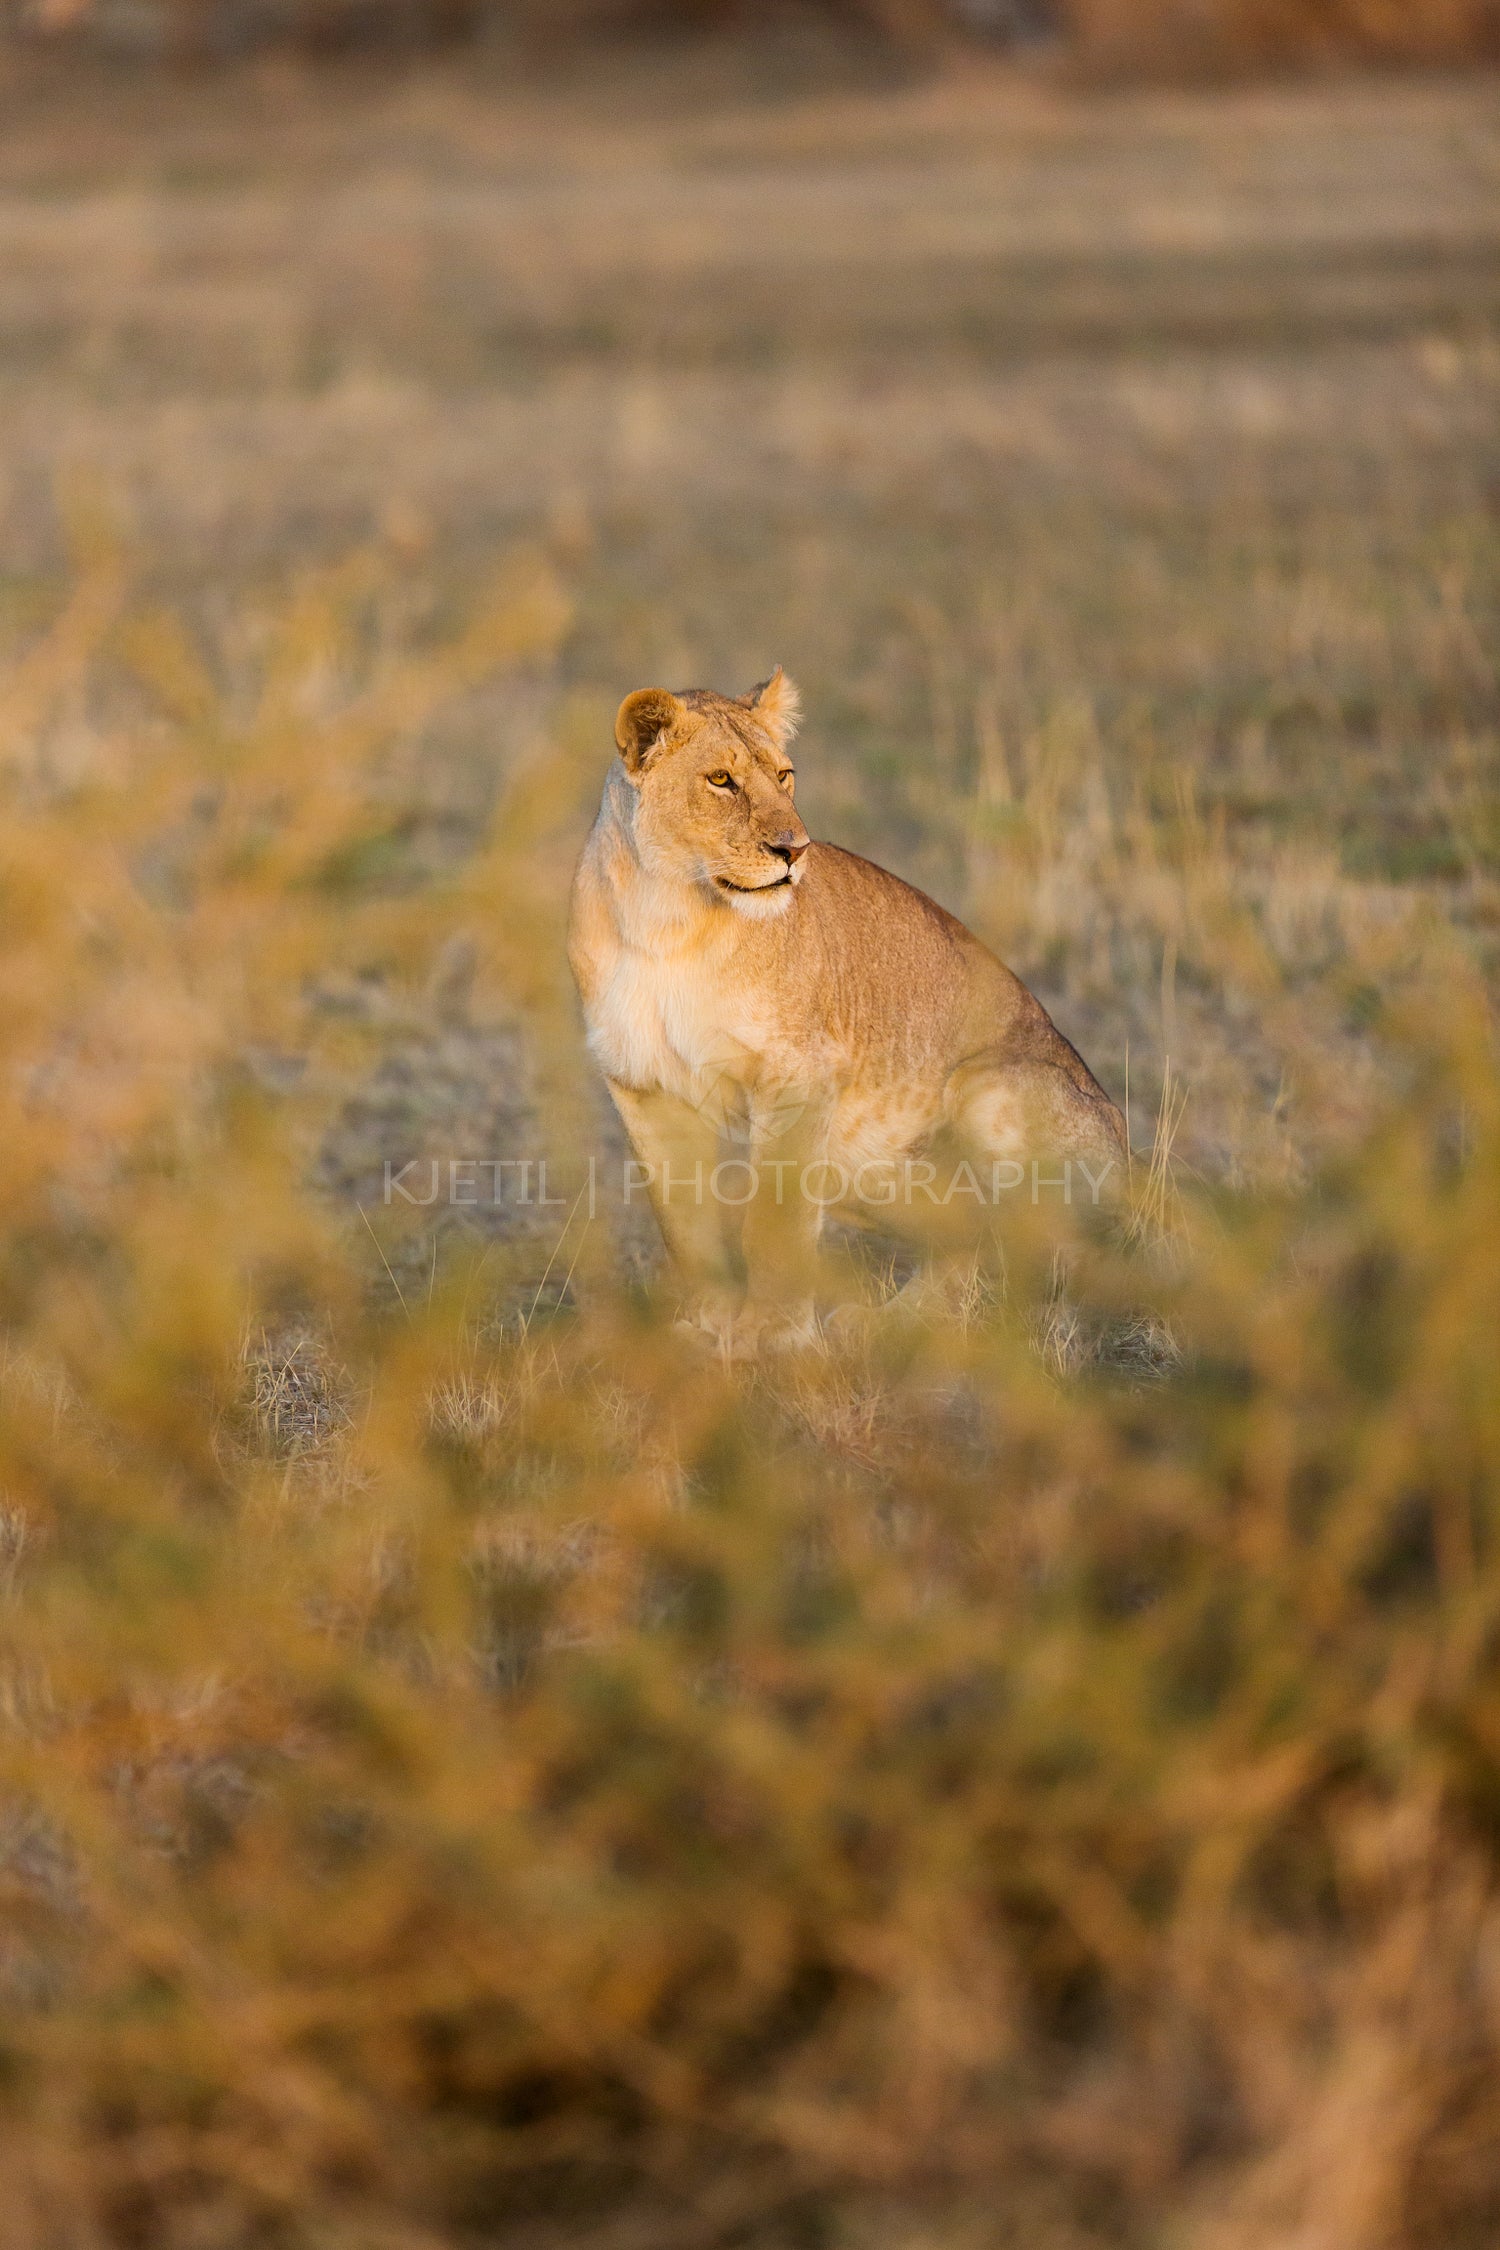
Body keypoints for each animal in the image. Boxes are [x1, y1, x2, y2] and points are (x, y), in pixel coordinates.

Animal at [568, 666, 1133, 1350]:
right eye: (721, 780)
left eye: (785, 775)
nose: (793, 850)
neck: (667, 919)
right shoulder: (644, 1086)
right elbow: (684, 1222)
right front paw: (702, 1323)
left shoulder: (801, 1075)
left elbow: (774, 1219)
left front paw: (771, 1334)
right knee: (967, 1244)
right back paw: (884, 1324)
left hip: (985, 1088)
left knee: (1041, 1258)